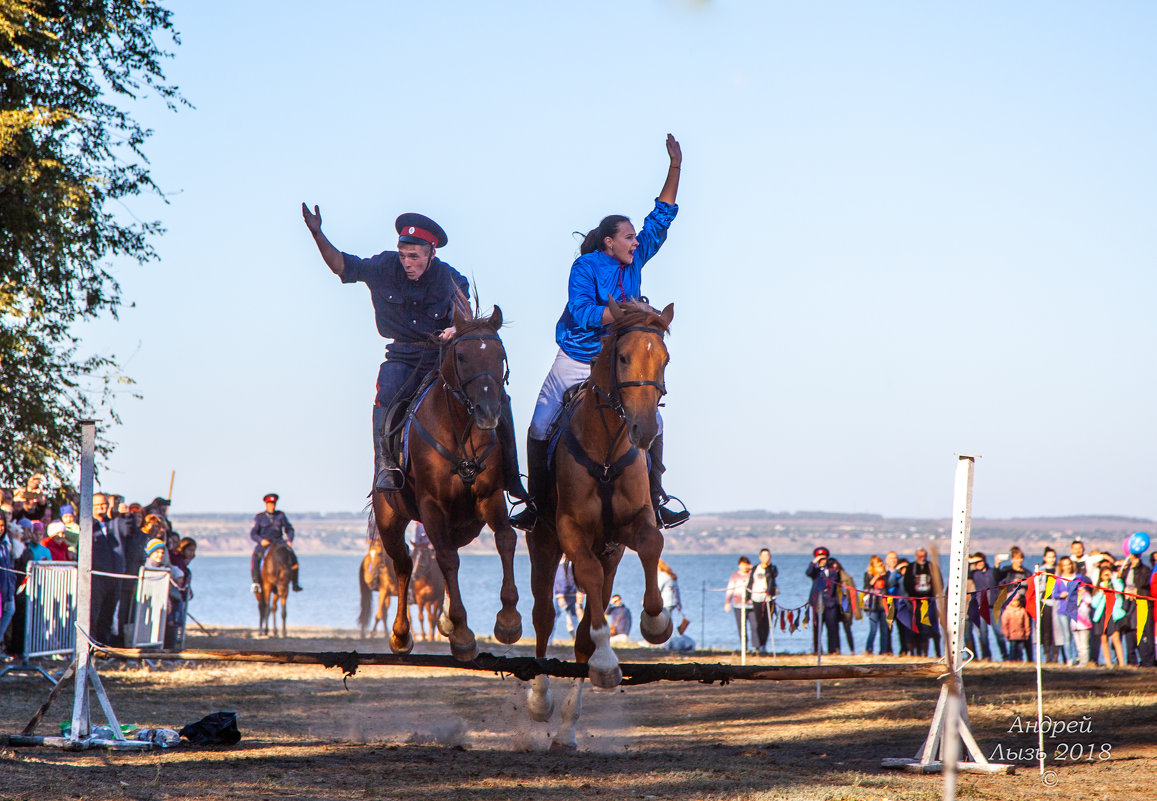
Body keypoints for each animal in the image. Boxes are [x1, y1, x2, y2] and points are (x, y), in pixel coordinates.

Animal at [372, 303, 522, 662]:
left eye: (500, 355)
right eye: (462, 356)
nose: (488, 412)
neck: (460, 434)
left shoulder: (490, 496)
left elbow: (505, 539)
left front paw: (508, 620)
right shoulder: (431, 506)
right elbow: (446, 559)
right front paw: (464, 633)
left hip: (465, 524)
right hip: (390, 520)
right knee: (404, 564)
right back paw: (401, 635)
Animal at [527, 295, 675, 750]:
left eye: (665, 359)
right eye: (623, 357)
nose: (643, 430)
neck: (608, 446)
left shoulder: (630, 529)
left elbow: (652, 547)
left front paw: (655, 622)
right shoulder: (571, 531)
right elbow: (583, 581)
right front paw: (609, 660)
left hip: (609, 554)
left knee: (581, 633)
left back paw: (567, 729)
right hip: (543, 546)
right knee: (544, 616)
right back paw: (539, 700)